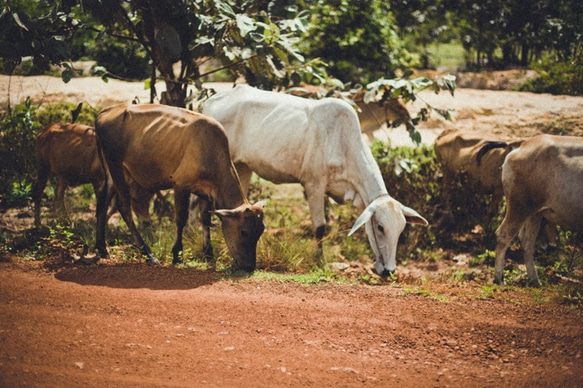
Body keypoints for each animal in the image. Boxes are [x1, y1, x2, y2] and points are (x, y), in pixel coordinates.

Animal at [95, 104, 266, 272]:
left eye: (261, 231)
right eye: (244, 232)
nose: (249, 266)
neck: (210, 150)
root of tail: (105, 111)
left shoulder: (206, 192)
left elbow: (205, 220)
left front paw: (209, 255)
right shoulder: (180, 185)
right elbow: (181, 219)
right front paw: (177, 255)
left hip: (112, 172)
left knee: (103, 201)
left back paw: (102, 248)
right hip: (117, 167)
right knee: (124, 207)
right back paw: (149, 254)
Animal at [203, 84, 426, 276]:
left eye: (402, 228)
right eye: (380, 227)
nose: (389, 271)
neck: (343, 144)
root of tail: (210, 102)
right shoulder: (314, 185)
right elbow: (320, 228)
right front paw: (320, 262)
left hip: (242, 167)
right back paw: (209, 254)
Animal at [488, 135, 583, 286]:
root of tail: (524, 142)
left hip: (534, 213)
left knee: (527, 243)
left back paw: (534, 280)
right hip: (520, 207)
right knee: (504, 235)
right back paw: (499, 278)